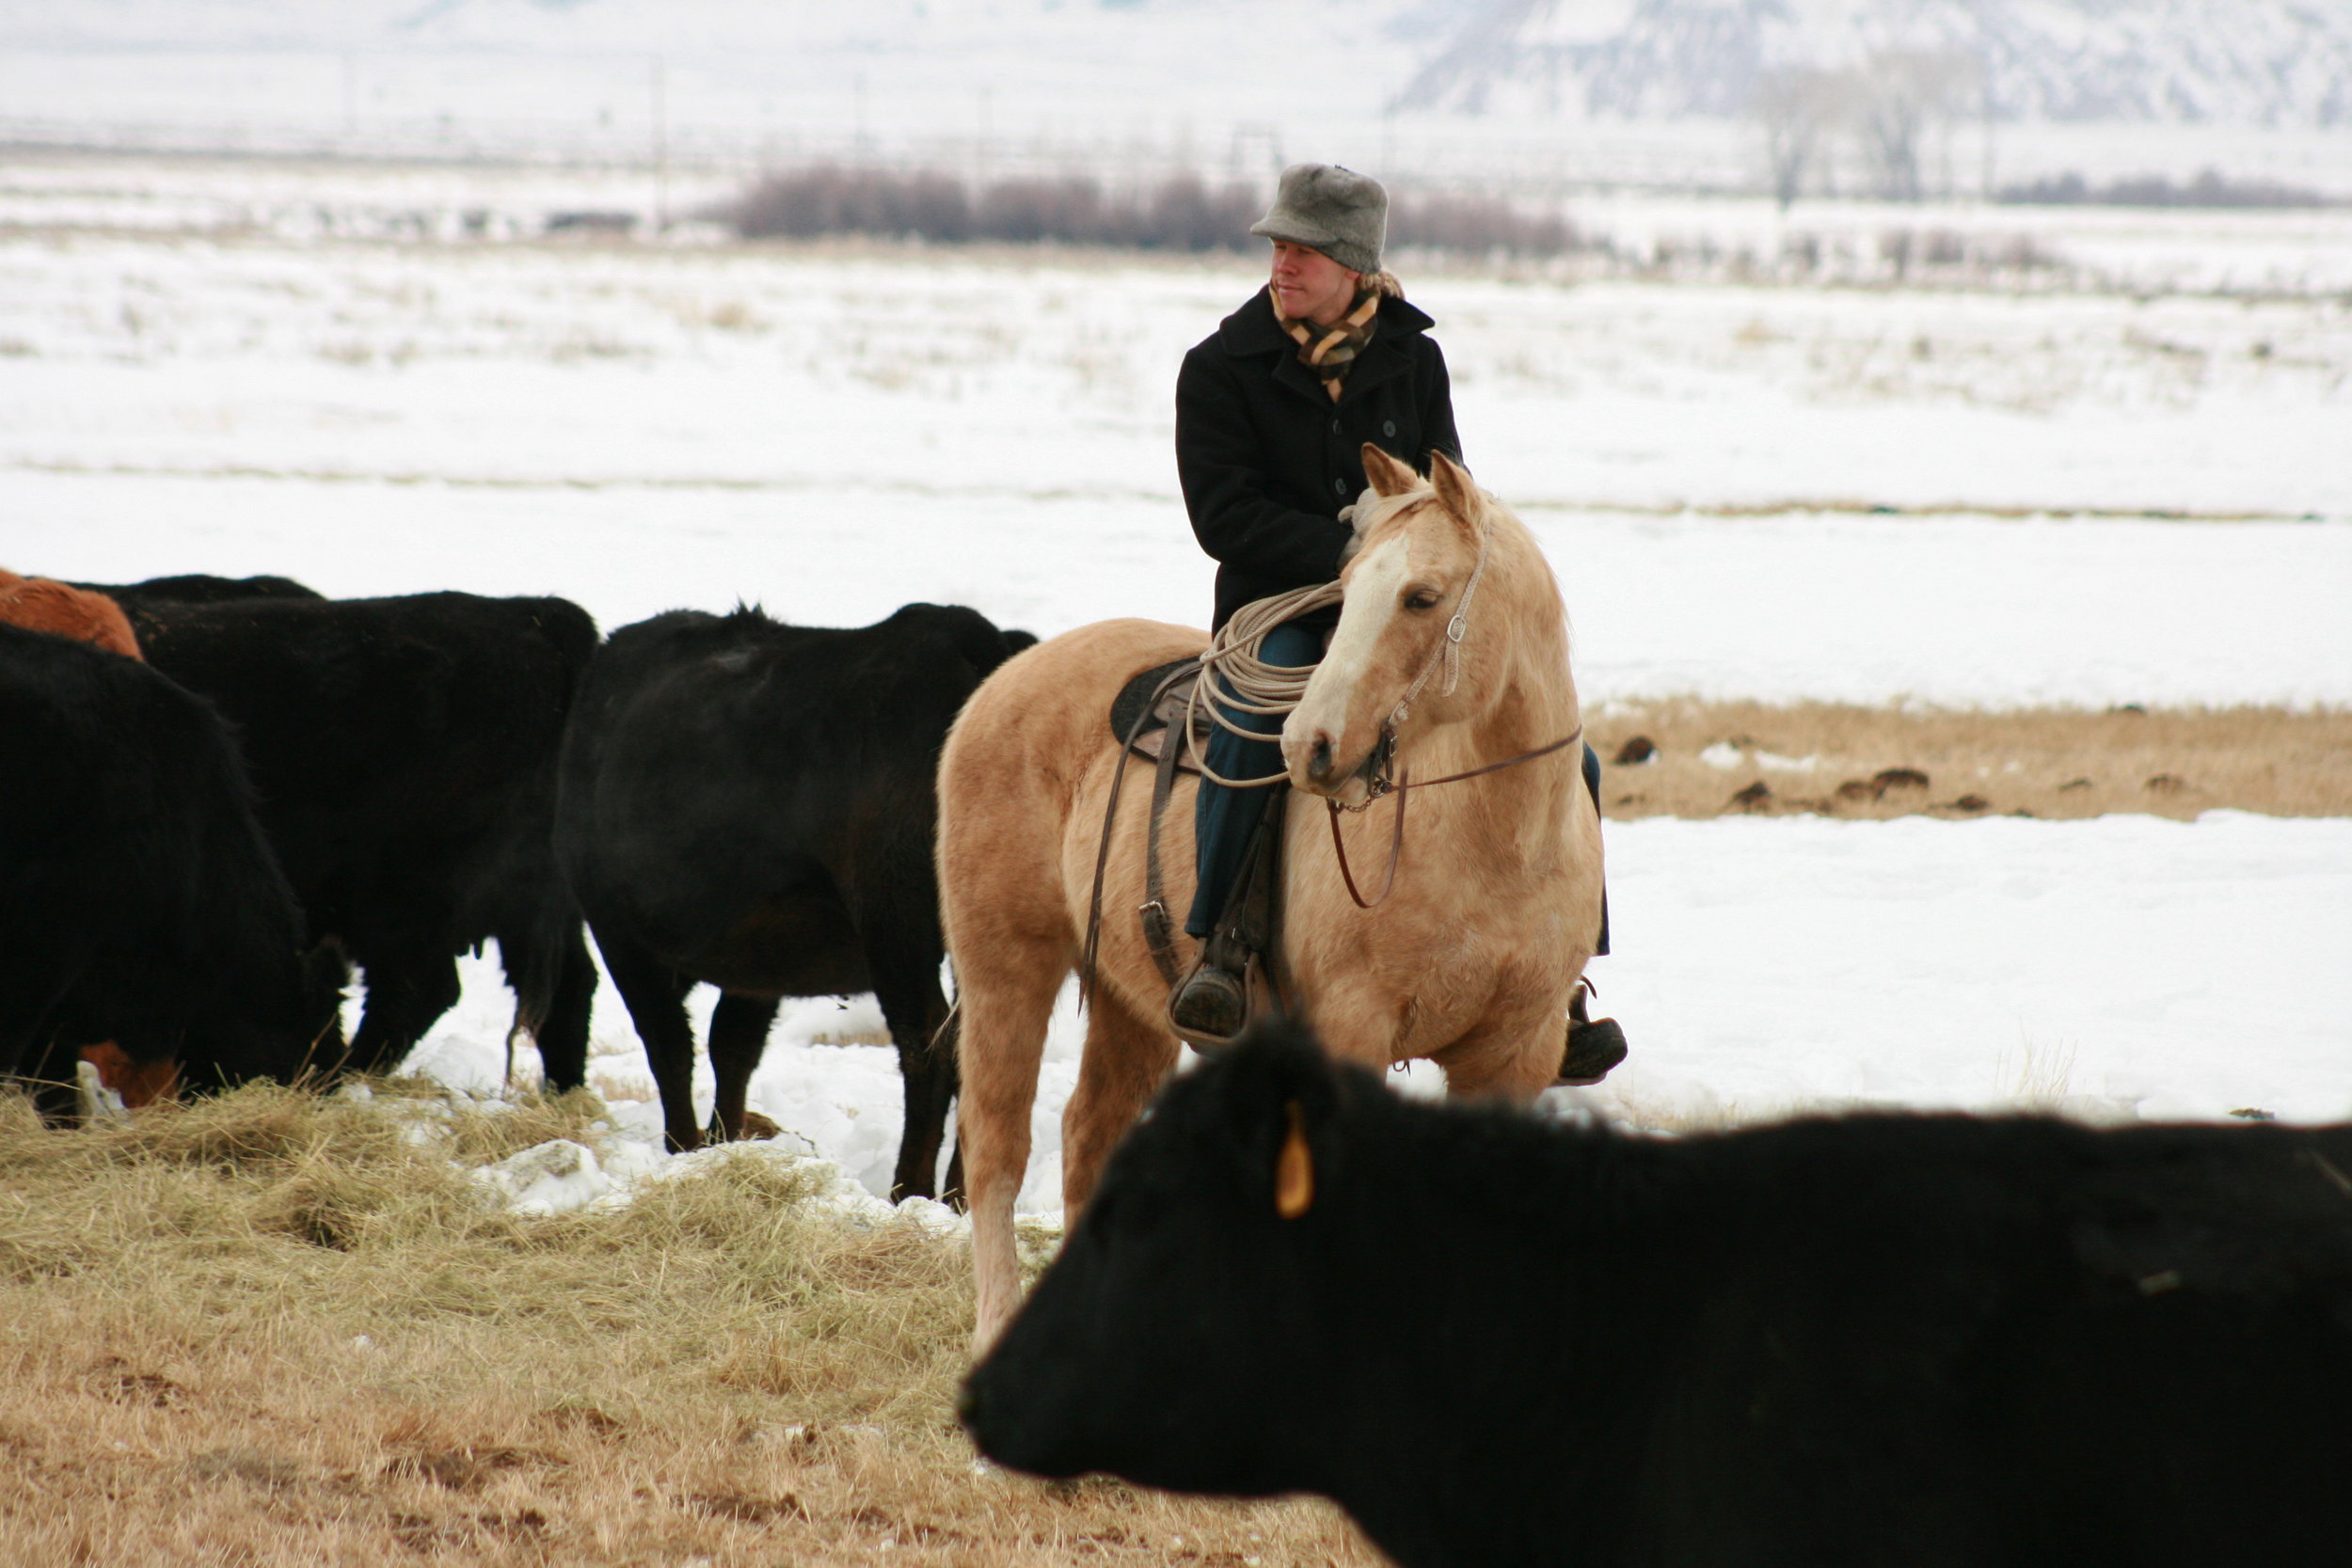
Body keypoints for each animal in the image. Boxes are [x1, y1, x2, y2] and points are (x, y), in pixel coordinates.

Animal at [555, 606, 1035, 1203]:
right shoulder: (759, 956)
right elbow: (731, 1044)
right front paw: (721, 1145)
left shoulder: (620, 934)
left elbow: (670, 1043)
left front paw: (684, 1149)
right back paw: (961, 1198)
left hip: (894, 921)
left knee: (927, 1044)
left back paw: (911, 1192)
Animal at [936, 446, 1599, 1344]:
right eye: (1347, 584)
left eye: (1421, 596)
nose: (1307, 745)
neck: (1493, 844)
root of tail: (1002, 682)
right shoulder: (1352, 1029)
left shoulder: (1517, 1050)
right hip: (1006, 970)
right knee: (996, 1148)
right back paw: (1000, 1322)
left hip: (1128, 1001)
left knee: (1088, 1138)